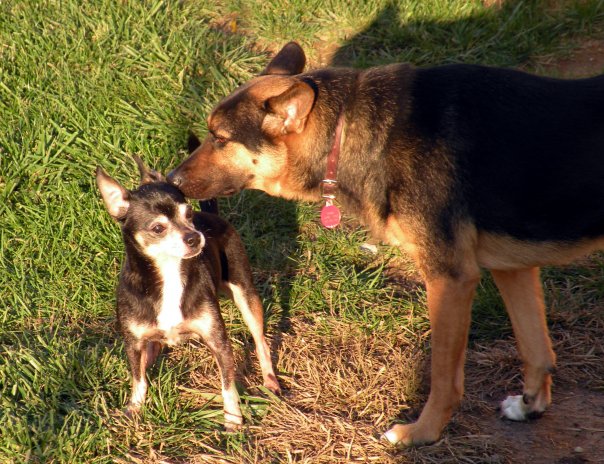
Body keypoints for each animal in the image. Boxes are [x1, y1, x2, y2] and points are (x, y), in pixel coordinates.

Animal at [96, 157, 280, 432]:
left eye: (189, 215)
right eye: (158, 228)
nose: (194, 237)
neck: (170, 273)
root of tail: (213, 215)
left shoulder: (218, 342)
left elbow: (228, 387)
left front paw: (233, 421)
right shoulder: (133, 343)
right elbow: (138, 380)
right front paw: (134, 410)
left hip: (245, 294)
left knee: (260, 342)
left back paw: (270, 381)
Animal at [168, 42, 604, 446]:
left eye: (220, 139)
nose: (171, 181)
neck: (344, 128)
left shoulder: (450, 279)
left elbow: (444, 377)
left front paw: (421, 433)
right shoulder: (512, 269)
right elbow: (536, 350)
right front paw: (531, 405)